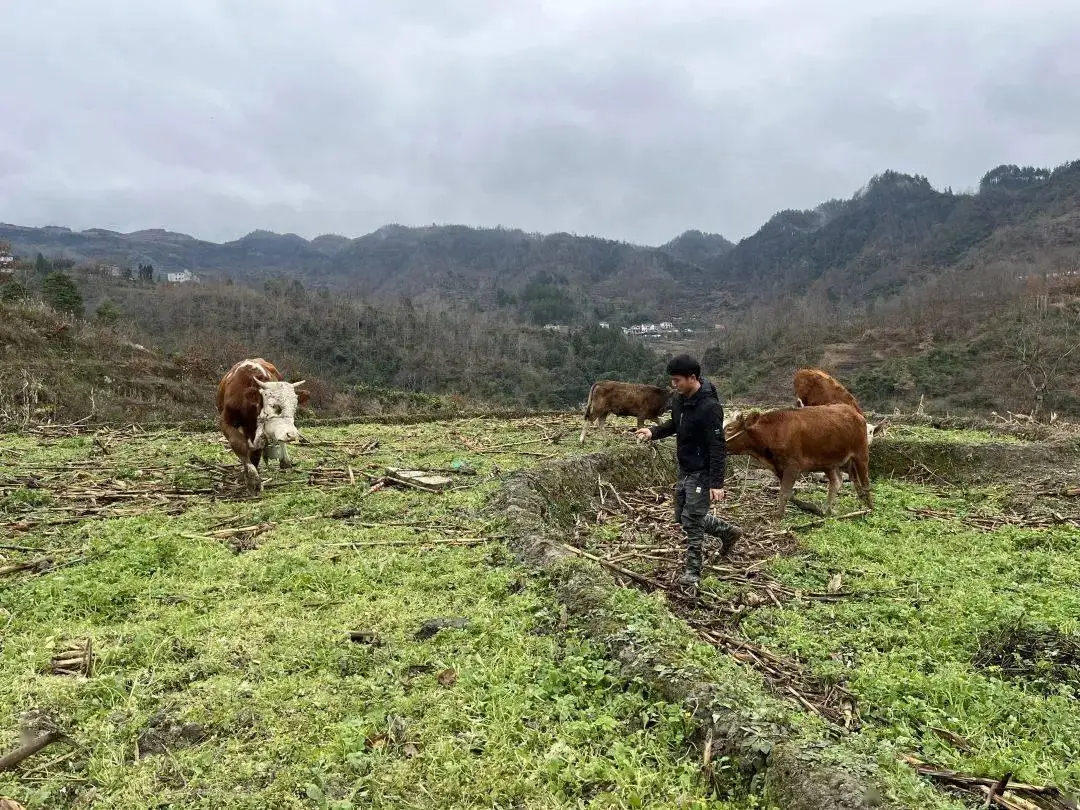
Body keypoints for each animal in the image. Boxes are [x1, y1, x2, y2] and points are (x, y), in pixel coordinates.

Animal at [213, 360, 308, 494]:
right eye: (273, 405)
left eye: (295, 407)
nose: (291, 434)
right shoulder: (225, 420)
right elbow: (238, 443)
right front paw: (251, 476)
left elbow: (256, 452)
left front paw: (253, 480)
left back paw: (285, 461)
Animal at [721, 403, 872, 520]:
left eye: (729, 428)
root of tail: (854, 411)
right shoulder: (779, 467)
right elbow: (787, 492)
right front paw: (808, 507)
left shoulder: (792, 466)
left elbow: (784, 492)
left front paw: (778, 516)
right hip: (828, 462)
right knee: (837, 481)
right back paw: (827, 510)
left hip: (861, 453)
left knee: (864, 482)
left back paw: (870, 508)